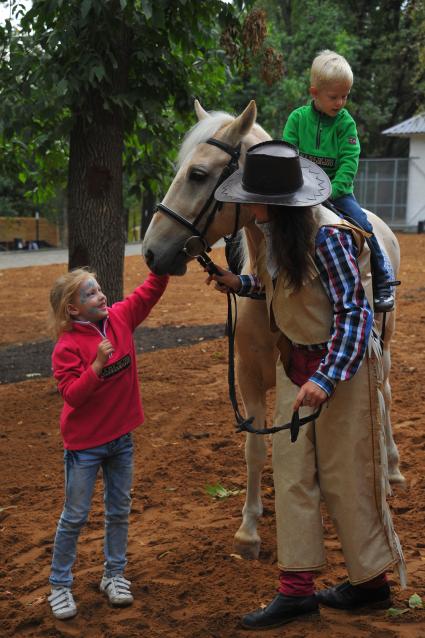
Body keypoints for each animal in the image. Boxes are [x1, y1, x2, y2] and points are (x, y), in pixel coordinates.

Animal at [142, 99, 404, 560]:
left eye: (198, 174)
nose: (151, 251)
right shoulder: (248, 375)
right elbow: (255, 447)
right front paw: (249, 528)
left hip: (383, 348)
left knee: (384, 398)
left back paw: (390, 470)